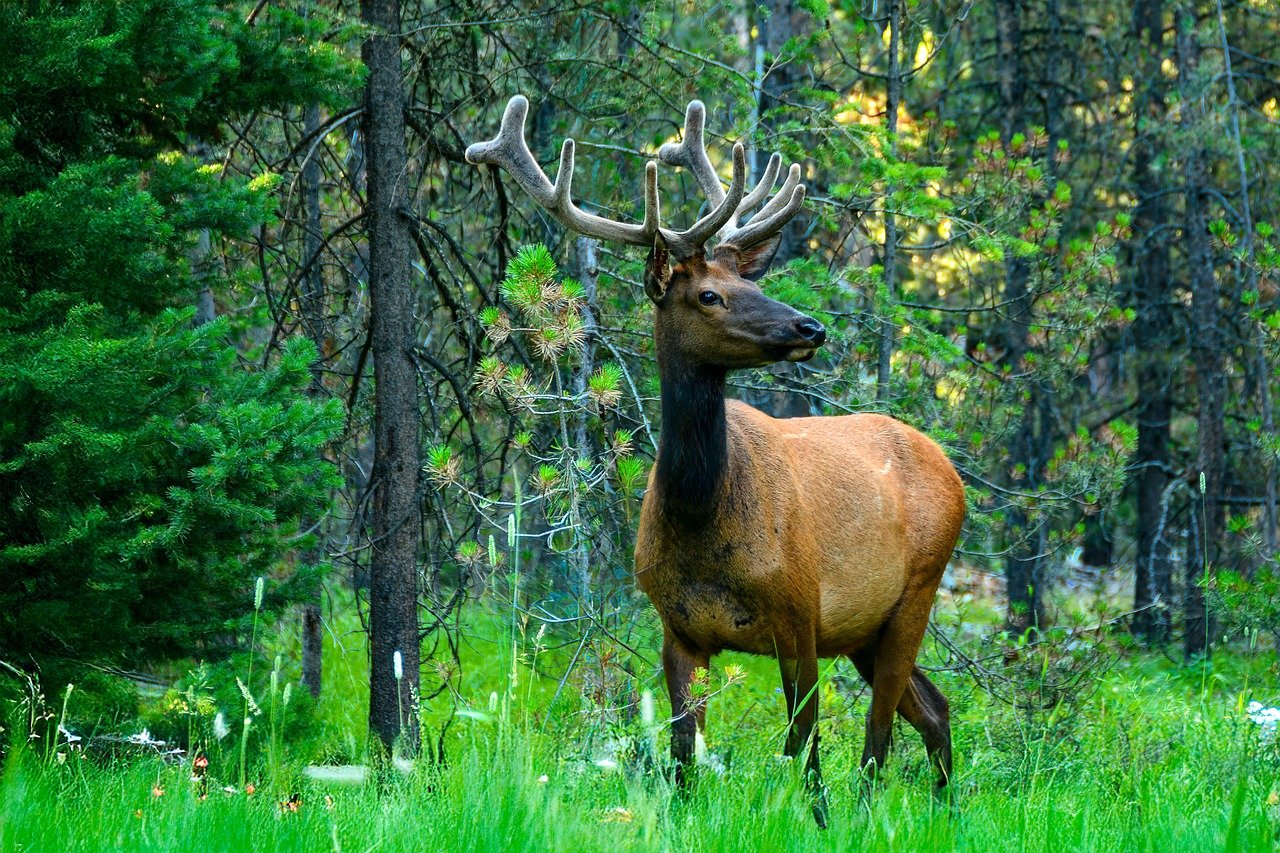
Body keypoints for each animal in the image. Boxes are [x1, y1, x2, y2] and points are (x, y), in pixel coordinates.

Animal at [466, 96, 966, 826]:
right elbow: (683, 755)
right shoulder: (678, 627)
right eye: (708, 295)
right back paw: (941, 810)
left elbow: (803, 745)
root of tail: (951, 471)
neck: (703, 519)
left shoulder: (800, 611)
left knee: (880, 737)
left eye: (746, 280)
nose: (811, 327)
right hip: (867, 626)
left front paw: (814, 822)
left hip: (917, 590)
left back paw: (877, 813)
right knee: (933, 708)